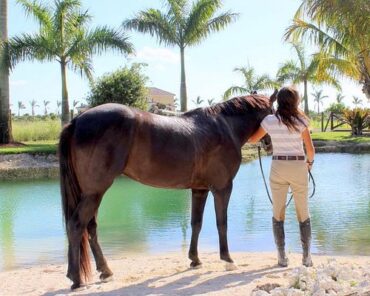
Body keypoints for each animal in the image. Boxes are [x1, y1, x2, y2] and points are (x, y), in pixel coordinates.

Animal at [58, 91, 274, 290]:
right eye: (275, 112)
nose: (269, 145)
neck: (225, 127)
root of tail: (76, 121)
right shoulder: (222, 188)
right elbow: (222, 224)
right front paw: (228, 260)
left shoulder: (200, 189)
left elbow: (196, 223)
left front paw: (195, 260)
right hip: (95, 192)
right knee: (76, 225)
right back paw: (76, 280)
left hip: (92, 193)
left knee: (90, 227)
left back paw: (105, 271)